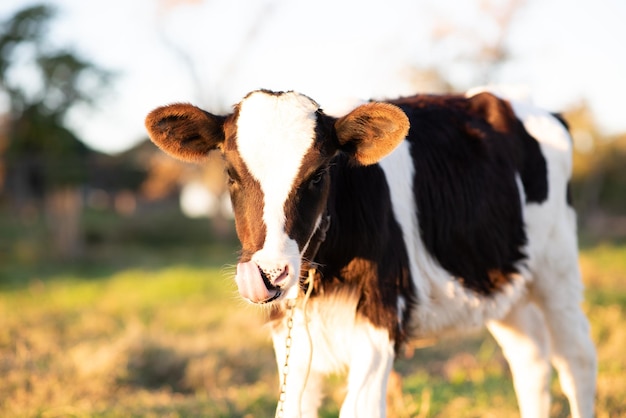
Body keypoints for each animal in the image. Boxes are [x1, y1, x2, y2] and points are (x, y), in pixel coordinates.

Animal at [145, 90, 596, 418]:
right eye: (231, 173)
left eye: (319, 174)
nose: (270, 273)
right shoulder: (287, 331)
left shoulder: (381, 314)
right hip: (501, 284)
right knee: (530, 360)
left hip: (557, 268)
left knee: (576, 358)